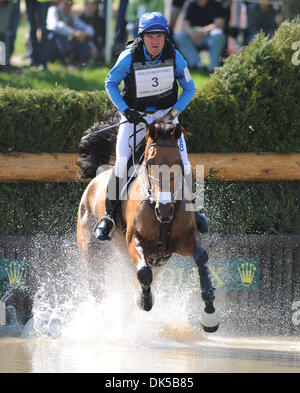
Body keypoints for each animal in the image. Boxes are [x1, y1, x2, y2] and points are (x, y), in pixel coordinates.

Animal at [76, 113, 219, 330]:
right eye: (151, 161)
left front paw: (210, 312)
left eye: (178, 161)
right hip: (92, 251)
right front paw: (144, 301)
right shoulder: (134, 240)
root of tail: (95, 180)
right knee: (97, 284)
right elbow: (144, 273)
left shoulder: (183, 240)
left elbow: (201, 257)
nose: (165, 209)